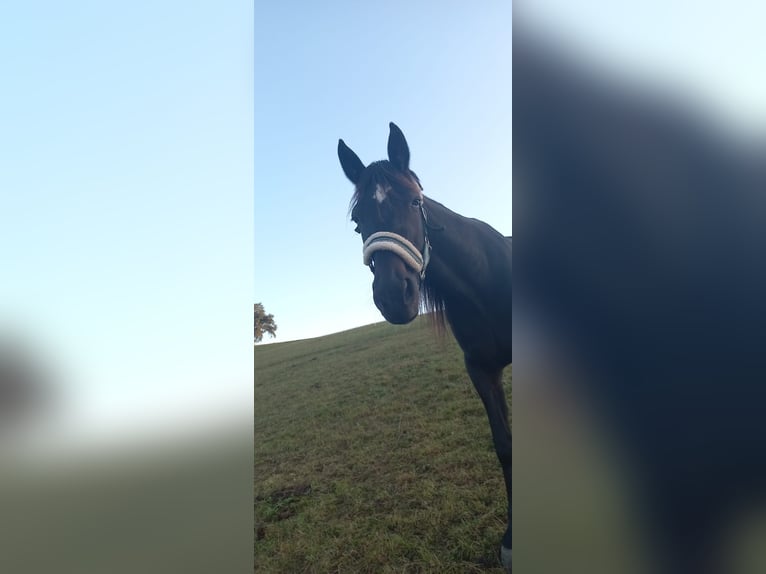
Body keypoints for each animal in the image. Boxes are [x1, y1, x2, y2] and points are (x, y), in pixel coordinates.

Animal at [338, 123, 513, 570]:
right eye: (357, 220)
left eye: (415, 201)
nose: (392, 295)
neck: (485, 280)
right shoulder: (481, 370)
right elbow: (505, 445)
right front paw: (511, 538)